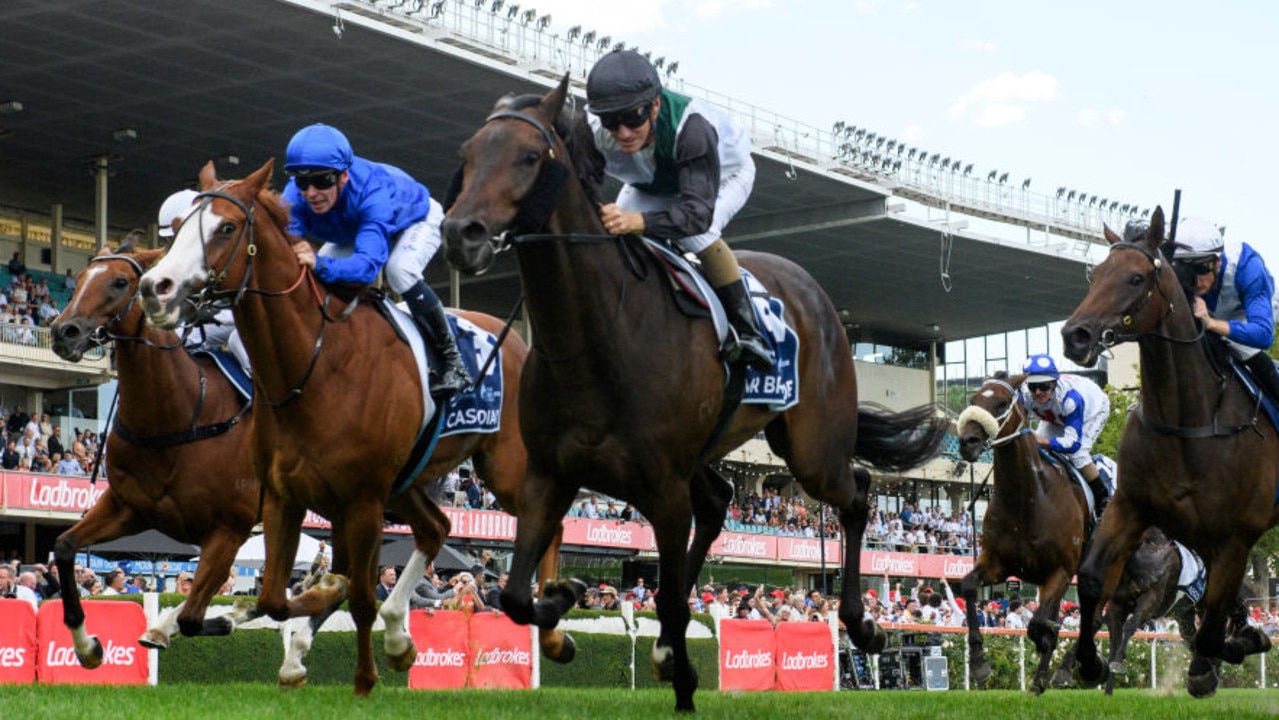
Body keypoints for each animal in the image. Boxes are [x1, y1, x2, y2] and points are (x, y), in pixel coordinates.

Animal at [49, 245, 257, 670]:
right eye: (79, 281)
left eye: (120, 281)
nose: (64, 331)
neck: (182, 412)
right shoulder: (131, 507)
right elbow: (64, 546)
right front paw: (88, 646)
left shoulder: (231, 526)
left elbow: (194, 617)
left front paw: (226, 615)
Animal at [134, 163, 565, 700]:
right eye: (180, 225)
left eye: (226, 228)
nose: (155, 285)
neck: (314, 365)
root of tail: (523, 344)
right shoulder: (286, 496)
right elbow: (276, 596)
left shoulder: (360, 500)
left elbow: (358, 597)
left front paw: (362, 680)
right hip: (405, 483)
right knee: (437, 527)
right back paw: (399, 633)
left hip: (503, 468)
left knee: (546, 522)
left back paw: (552, 628)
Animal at [439, 76, 951, 711]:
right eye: (467, 155)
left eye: (530, 156)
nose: (460, 233)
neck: (594, 335)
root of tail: (818, 296)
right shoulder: (549, 474)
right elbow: (511, 595)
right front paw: (562, 602)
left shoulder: (661, 486)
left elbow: (670, 595)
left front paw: (683, 679)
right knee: (720, 500)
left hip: (811, 448)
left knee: (855, 491)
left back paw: (860, 622)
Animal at [951, 370, 1089, 690]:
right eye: (974, 398)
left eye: (1002, 403)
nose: (967, 442)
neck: (1028, 501)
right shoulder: (999, 563)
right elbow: (969, 586)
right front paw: (979, 664)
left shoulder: (1062, 570)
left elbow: (1038, 623)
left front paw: (1045, 638)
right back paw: (1041, 678)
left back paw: (1063, 669)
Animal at [1053, 207, 1273, 700]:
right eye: (1096, 273)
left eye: (1136, 278)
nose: (1076, 336)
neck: (1189, 422)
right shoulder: (1131, 506)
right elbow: (1093, 582)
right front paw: (1087, 664)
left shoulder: (1235, 537)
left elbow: (1212, 623)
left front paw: (1217, 661)